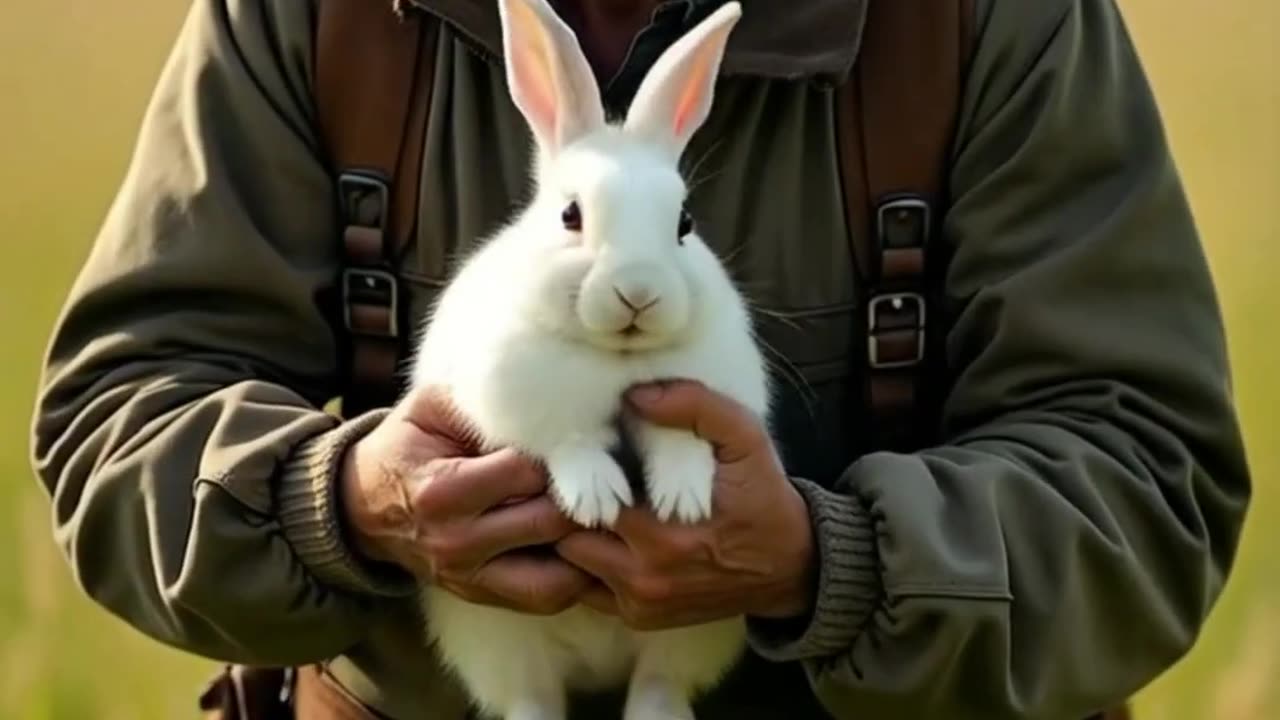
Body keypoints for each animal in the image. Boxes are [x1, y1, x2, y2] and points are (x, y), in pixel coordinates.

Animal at [412, 1, 768, 717]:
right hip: (505, 645)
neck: (615, 355)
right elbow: (566, 441)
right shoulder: (519, 403)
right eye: (570, 216)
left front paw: (684, 500)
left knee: (658, 684)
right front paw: (598, 498)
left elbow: (680, 439)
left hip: (687, 635)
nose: (639, 291)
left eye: (684, 223)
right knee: (533, 698)